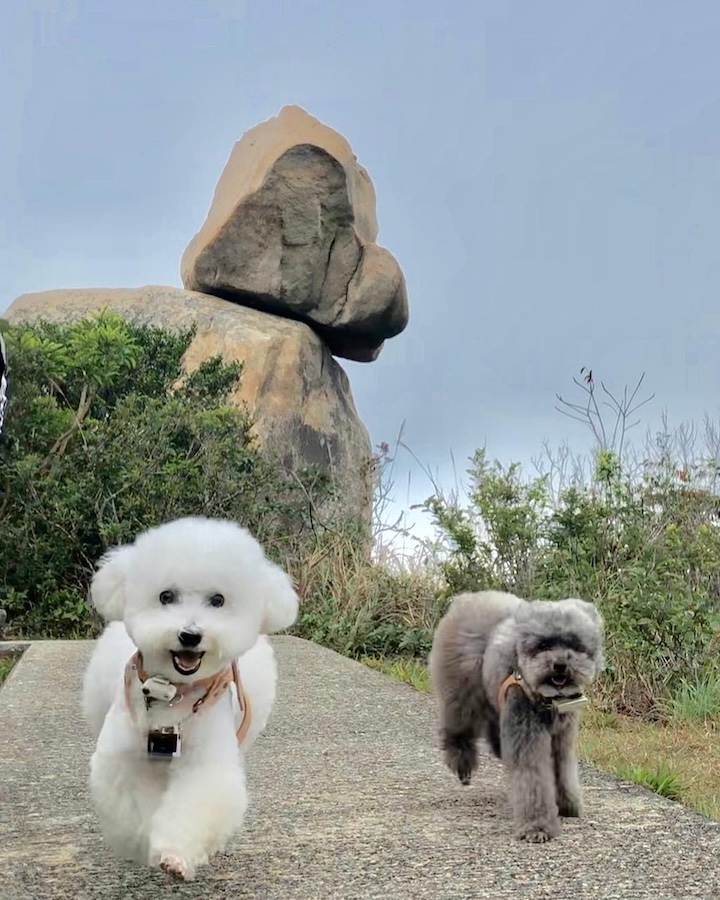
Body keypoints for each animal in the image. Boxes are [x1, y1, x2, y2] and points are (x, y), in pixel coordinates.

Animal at [81, 516, 298, 884]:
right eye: (166, 596)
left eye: (218, 600)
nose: (190, 635)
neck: (172, 695)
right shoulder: (127, 759)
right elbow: (133, 803)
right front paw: (144, 844)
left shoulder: (206, 761)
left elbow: (197, 800)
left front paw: (174, 855)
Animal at [430, 592, 604, 844]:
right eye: (543, 645)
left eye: (575, 644)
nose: (560, 665)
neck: (547, 698)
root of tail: (466, 599)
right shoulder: (527, 733)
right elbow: (533, 779)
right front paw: (537, 827)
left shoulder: (562, 737)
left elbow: (563, 770)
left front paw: (568, 805)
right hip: (462, 696)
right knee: (456, 732)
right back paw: (463, 767)